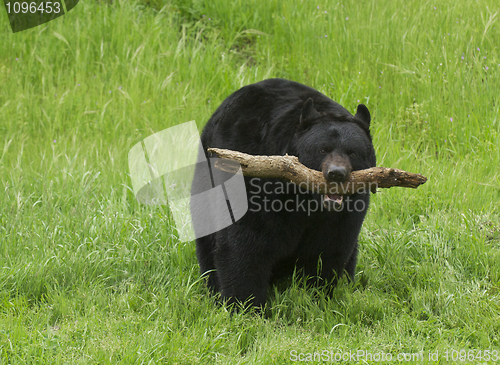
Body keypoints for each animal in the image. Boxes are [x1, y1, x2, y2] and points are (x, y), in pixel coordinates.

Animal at [190, 77, 376, 308]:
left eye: (352, 152)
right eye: (322, 149)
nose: (336, 173)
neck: (306, 200)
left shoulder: (346, 212)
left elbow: (331, 248)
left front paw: (320, 296)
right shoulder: (258, 183)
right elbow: (245, 243)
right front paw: (245, 305)